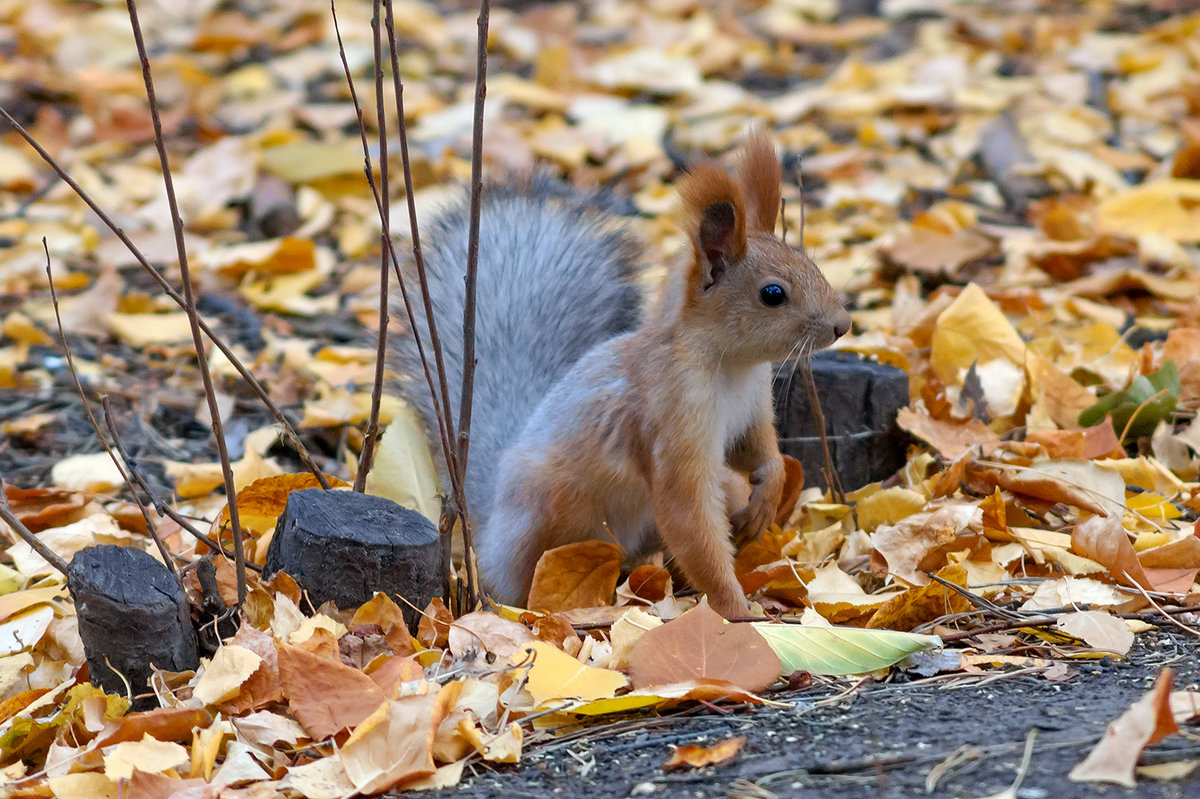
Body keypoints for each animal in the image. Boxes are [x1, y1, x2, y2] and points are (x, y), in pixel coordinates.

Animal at [393, 131, 844, 614]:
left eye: (812, 264)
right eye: (773, 294)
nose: (843, 324)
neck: (732, 367)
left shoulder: (753, 407)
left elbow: (758, 451)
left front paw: (767, 496)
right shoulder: (672, 415)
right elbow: (688, 516)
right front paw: (737, 614)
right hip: (547, 512)